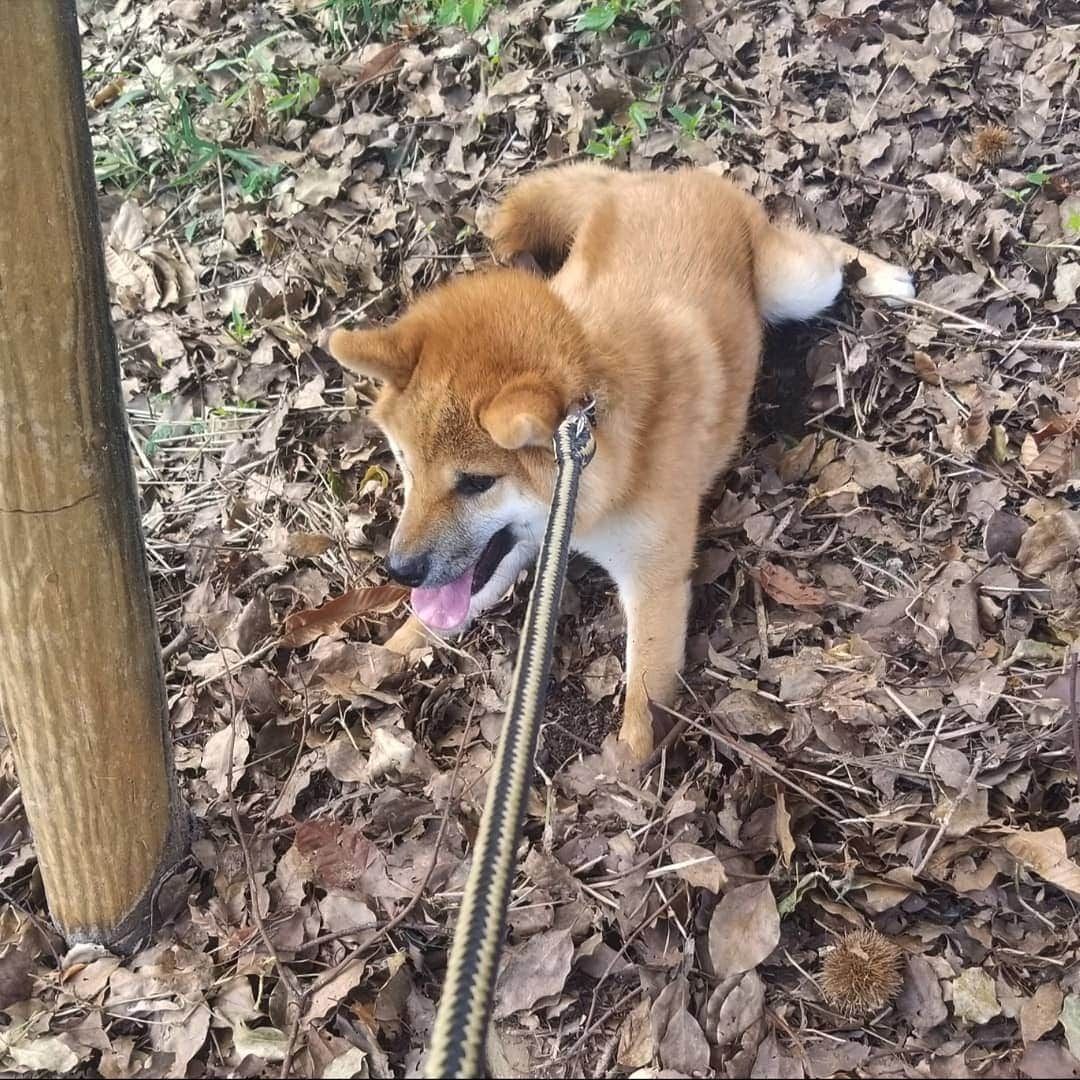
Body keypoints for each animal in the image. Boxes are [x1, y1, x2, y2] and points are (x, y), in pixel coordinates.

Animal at [326, 162, 911, 760]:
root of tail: (660, 178)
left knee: (827, 251)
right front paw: (372, 663)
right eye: (405, 465)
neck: (596, 470)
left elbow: (641, 711)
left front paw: (621, 775)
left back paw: (884, 276)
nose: (397, 569)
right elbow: (431, 618)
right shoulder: (526, 543)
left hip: (796, 286)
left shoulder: (651, 584)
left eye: (475, 482)